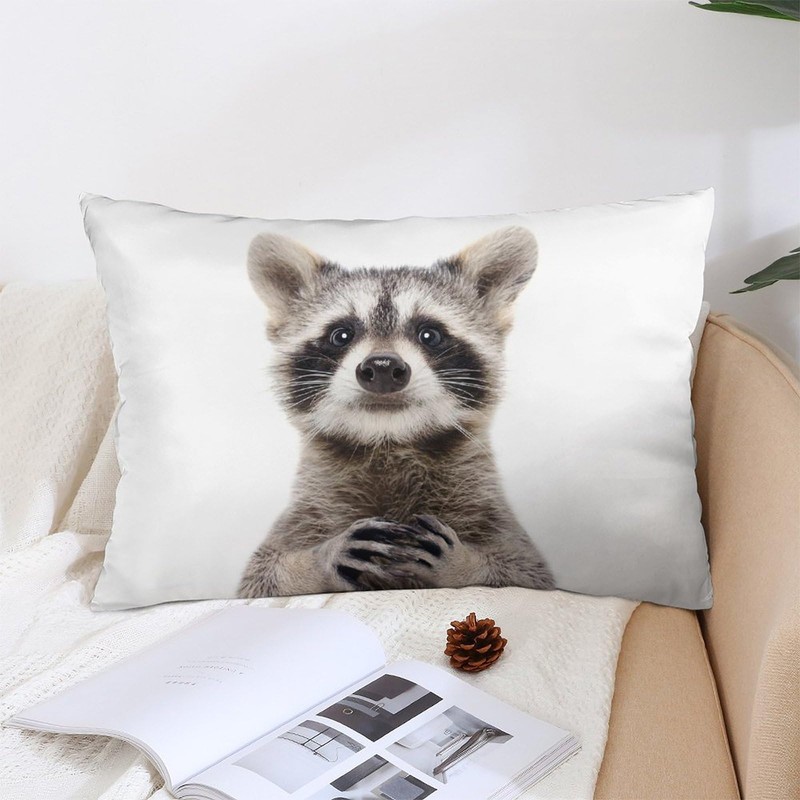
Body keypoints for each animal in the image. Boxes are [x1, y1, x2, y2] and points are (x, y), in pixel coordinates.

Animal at [237, 226, 555, 598]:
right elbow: (261, 577)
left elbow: (526, 575)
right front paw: (315, 560)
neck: (389, 442)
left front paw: (464, 563)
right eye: (341, 334)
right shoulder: (304, 515)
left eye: (429, 334)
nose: (384, 367)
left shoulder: (492, 516)